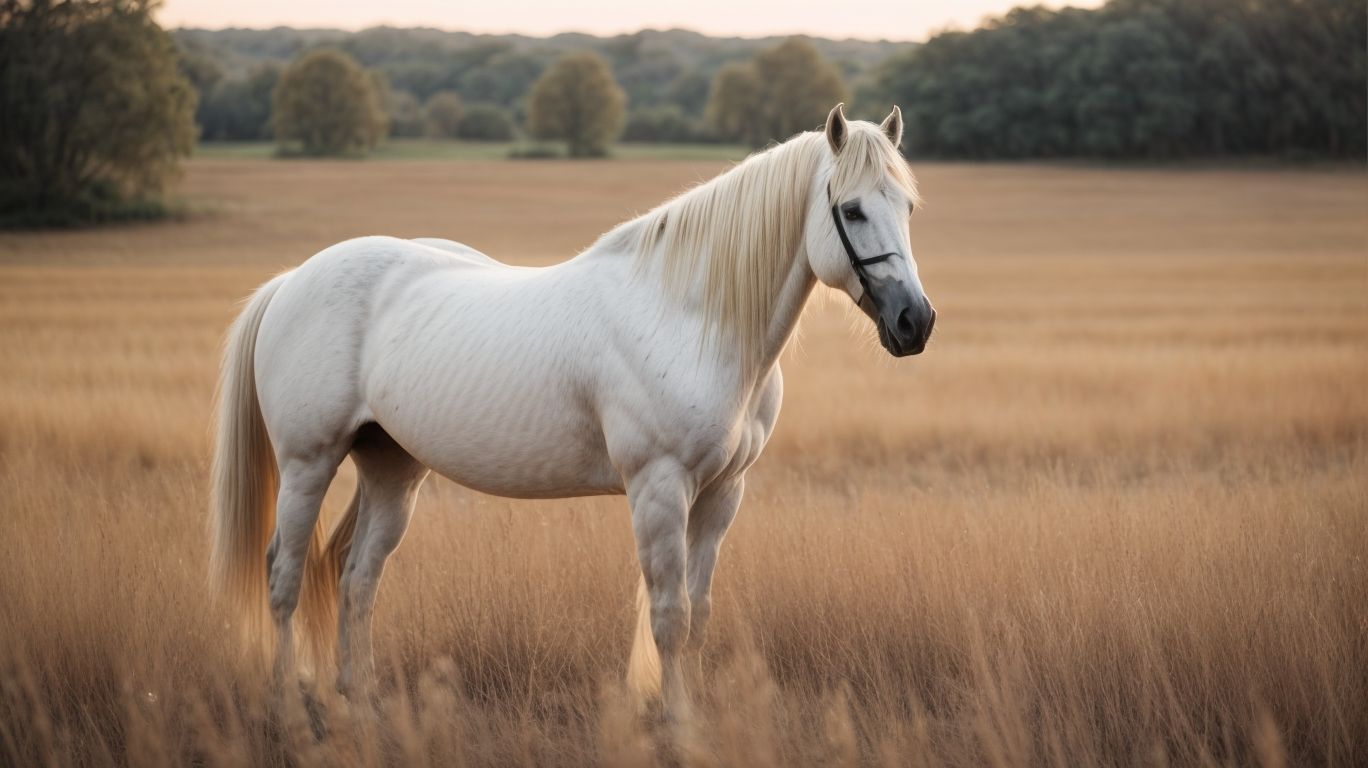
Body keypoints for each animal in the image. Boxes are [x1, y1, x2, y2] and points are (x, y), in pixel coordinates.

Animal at [209, 104, 935, 717]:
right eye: (852, 210)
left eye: (906, 205)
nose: (915, 322)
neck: (691, 314)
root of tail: (292, 281)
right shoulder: (658, 487)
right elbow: (668, 616)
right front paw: (677, 723)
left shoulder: (723, 493)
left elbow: (698, 615)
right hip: (308, 463)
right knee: (284, 574)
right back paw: (286, 703)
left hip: (392, 470)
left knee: (356, 577)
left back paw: (359, 699)